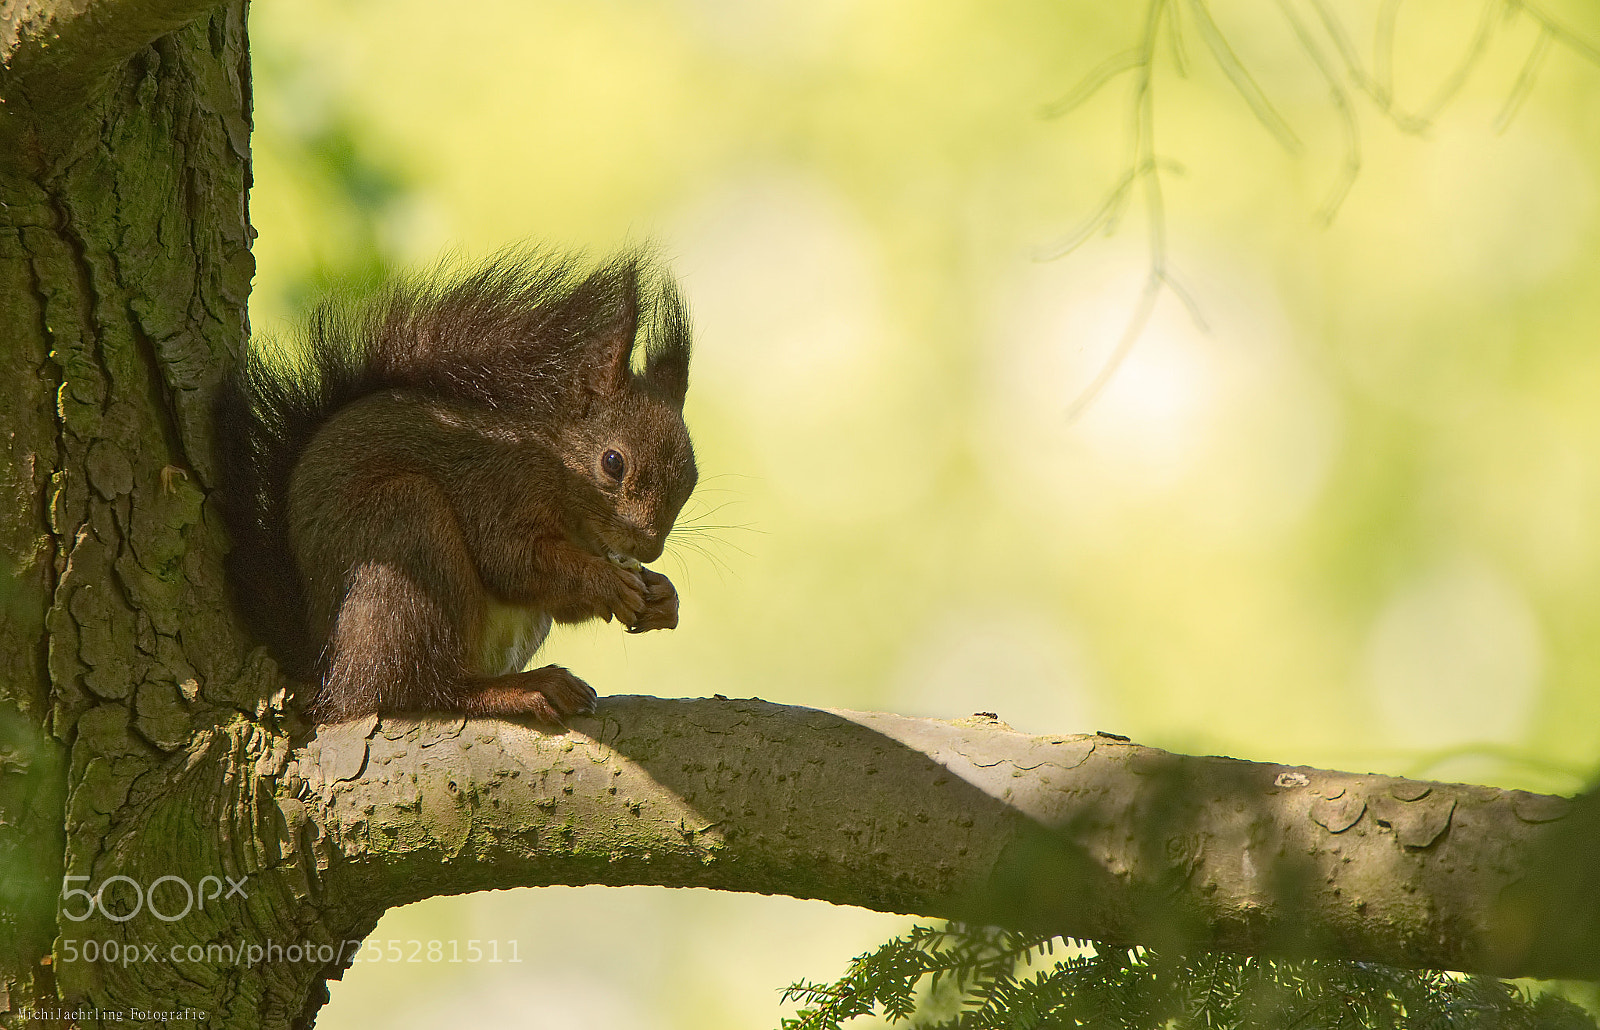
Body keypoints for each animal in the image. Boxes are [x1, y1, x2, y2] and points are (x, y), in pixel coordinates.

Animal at [213, 251, 697, 724]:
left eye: (692, 478)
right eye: (613, 463)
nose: (648, 548)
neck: (556, 466)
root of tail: (327, 665)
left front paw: (664, 597)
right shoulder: (495, 487)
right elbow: (513, 561)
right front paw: (608, 582)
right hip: (406, 540)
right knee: (419, 688)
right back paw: (520, 689)